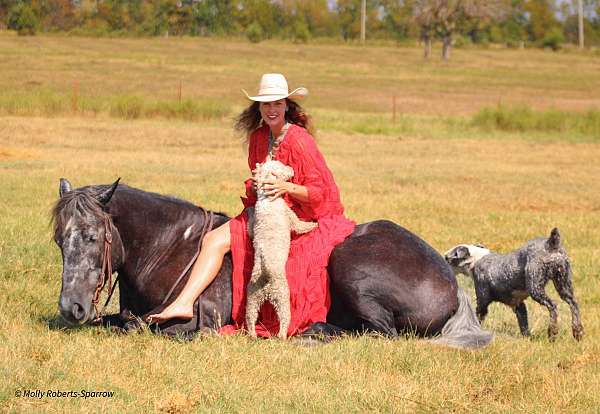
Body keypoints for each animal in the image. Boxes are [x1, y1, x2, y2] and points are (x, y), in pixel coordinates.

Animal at [51, 179, 492, 350]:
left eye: (91, 237)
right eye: (59, 240)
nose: (71, 308)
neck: (170, 247)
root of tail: (452, 284)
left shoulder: (194, 322)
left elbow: (141, 328)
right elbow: (119, 321)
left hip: (350, 267)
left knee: (380, 334)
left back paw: (311, 333)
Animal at [442, 228, 584, 342]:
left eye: (447, 258)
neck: (477, 259)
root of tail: (551, 243)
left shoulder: (482, 300)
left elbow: (477, 317)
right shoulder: (518, 305)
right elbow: (524, 325)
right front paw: (527, 339)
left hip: (536, 287)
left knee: (553, 305)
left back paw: (552, 332)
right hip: (563, 283)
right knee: (573, 304)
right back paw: (578, 332)